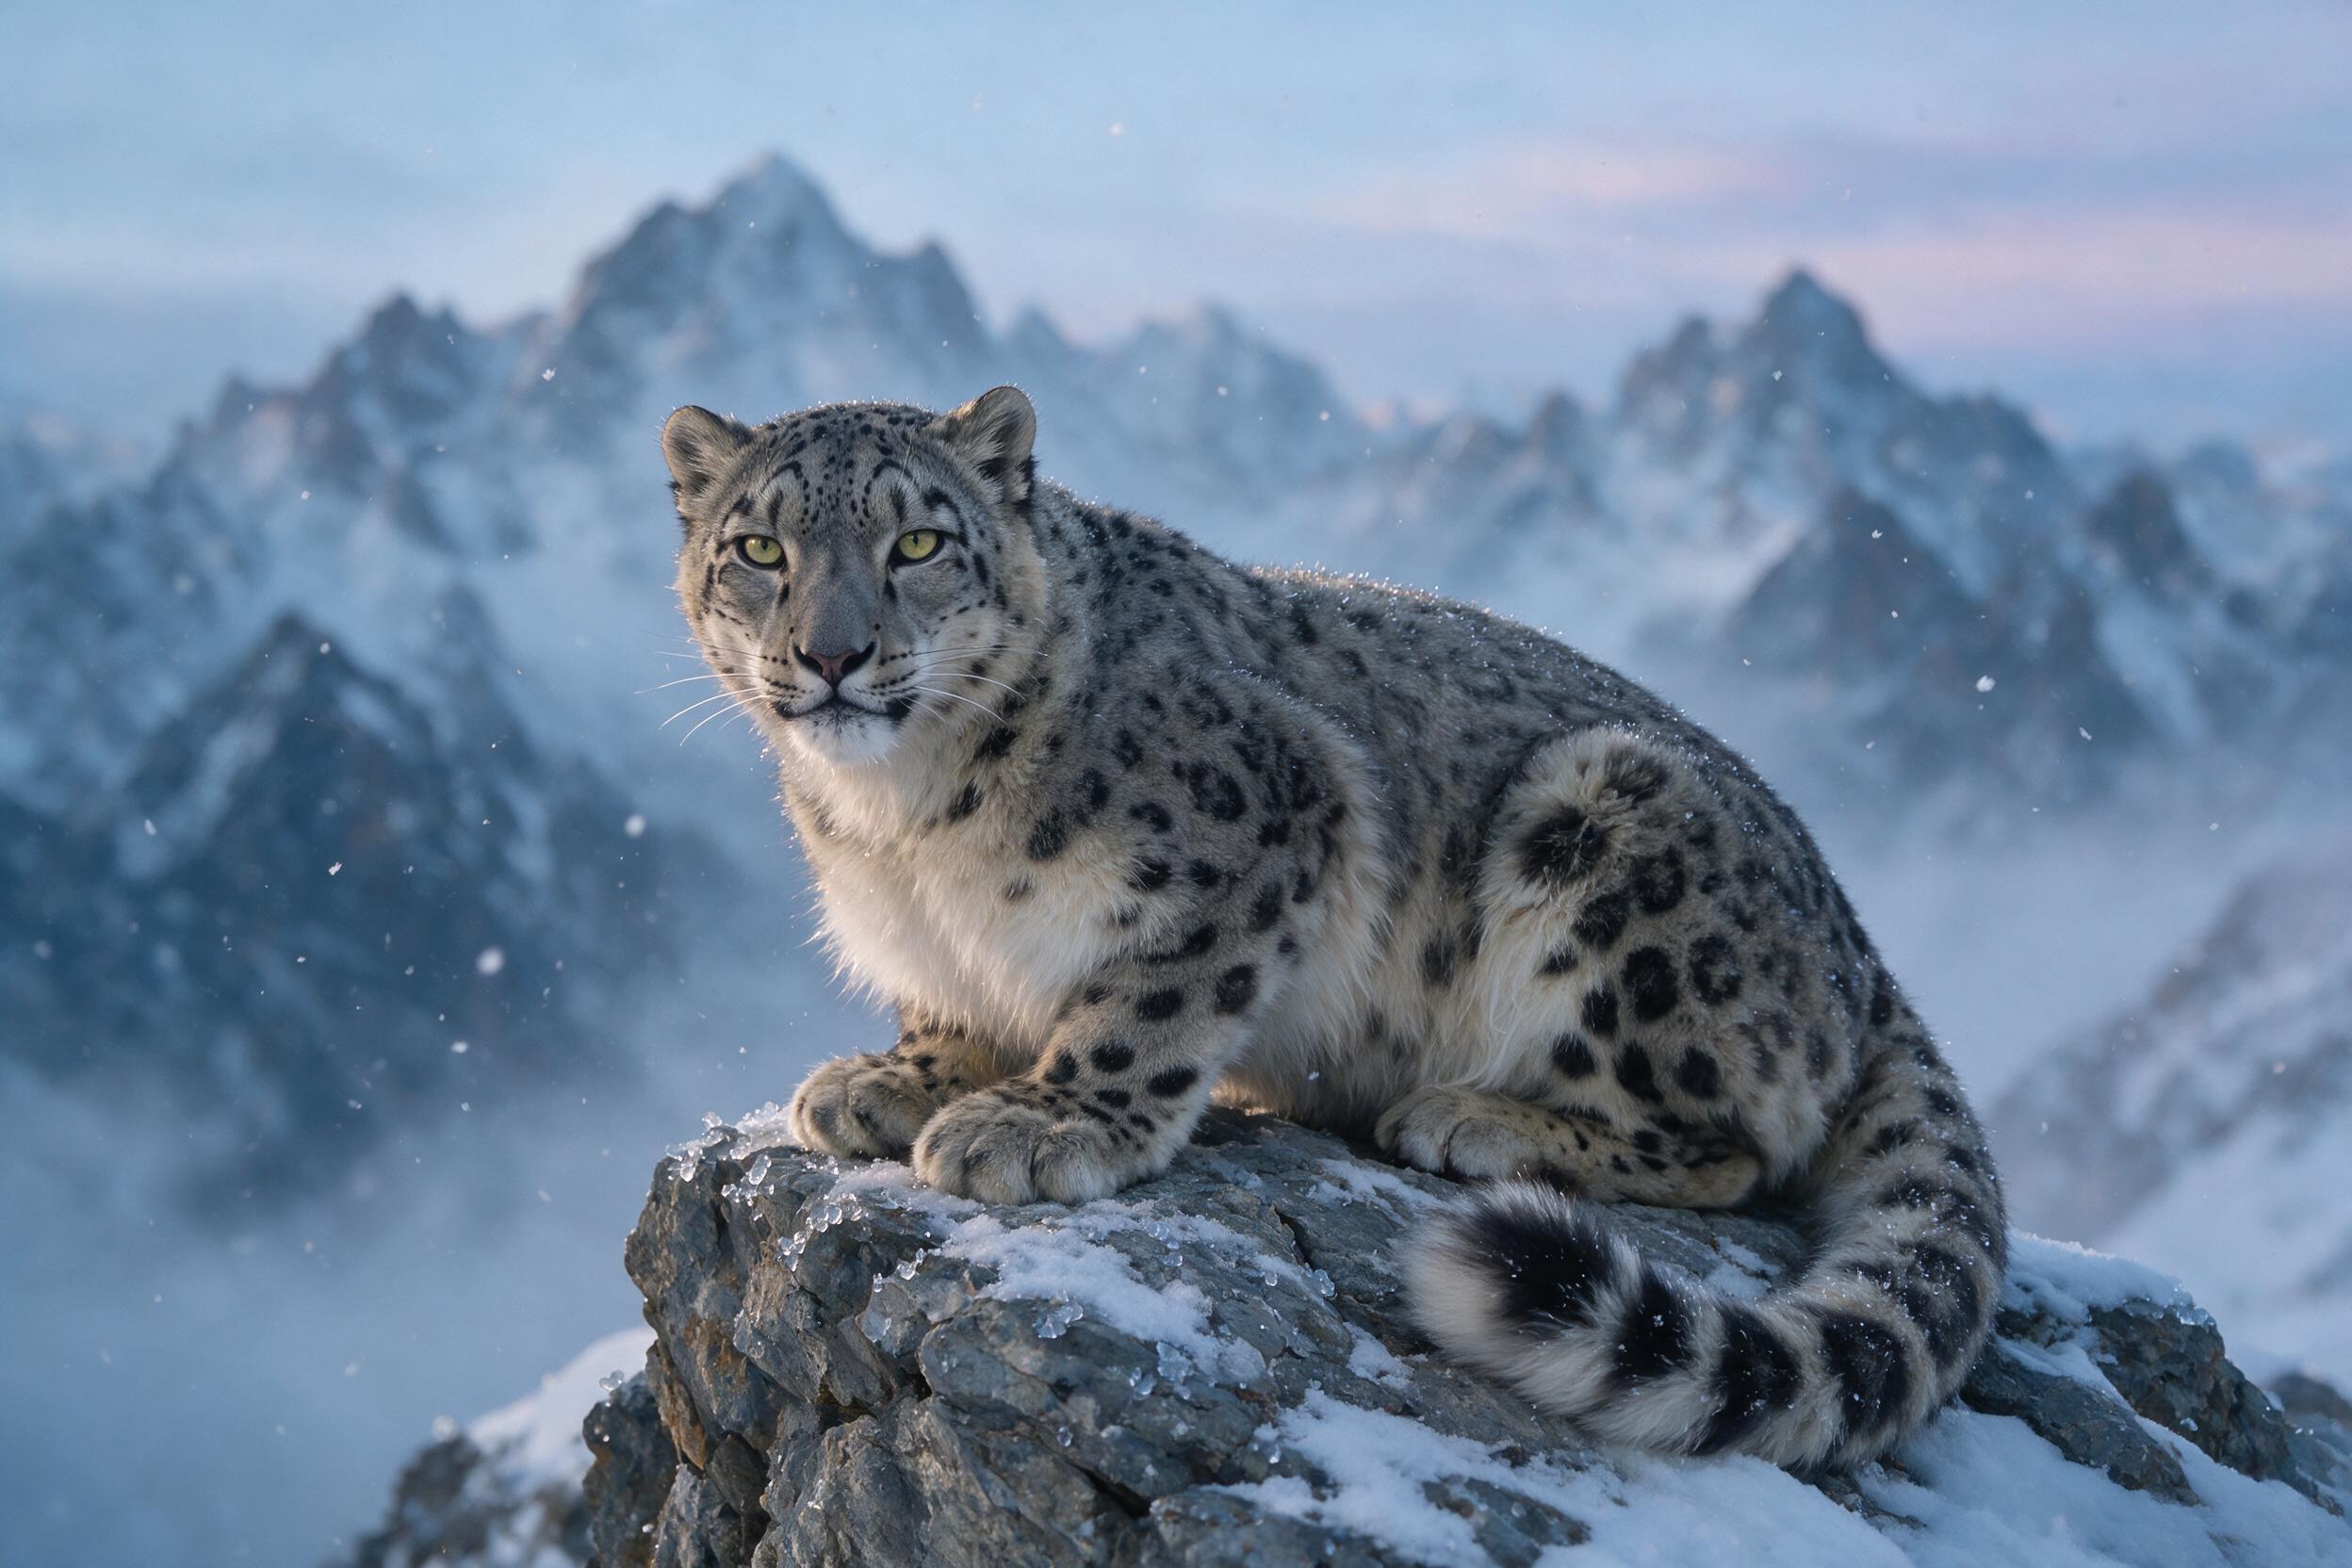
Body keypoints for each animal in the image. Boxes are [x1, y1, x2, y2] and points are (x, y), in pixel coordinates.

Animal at [657, 385, 2005, 1467]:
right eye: (761, 547)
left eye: (920, 541)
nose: (833, 656)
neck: (906, 824)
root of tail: (1865, 953)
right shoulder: (937, 942)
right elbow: (952, 1006)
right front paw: (900, 1076)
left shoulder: (1271, 818)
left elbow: (1152, 998)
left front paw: (1046, 1122)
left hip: (1611, 833)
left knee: (1732, 1140)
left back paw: (1470, 1117)